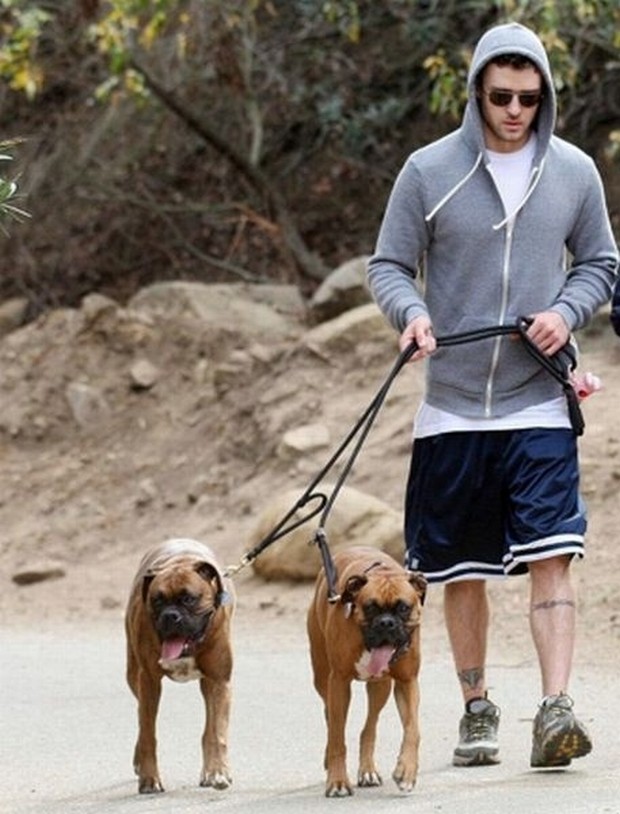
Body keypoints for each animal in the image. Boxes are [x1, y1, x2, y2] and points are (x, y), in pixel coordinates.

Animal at [124, 540, 235, 792]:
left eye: (188, 599)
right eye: (157, 601)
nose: (170, 616)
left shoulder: (220, 681)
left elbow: (218, 732)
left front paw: (218, 771)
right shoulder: (149, 682)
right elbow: (148, 733)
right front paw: (149, 778)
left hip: (208, 685)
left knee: (208, 729)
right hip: (133, 676)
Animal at [306, 548, 426, 796]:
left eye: (403, 607)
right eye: (370, 607)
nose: (386, 623)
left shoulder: (407, 682)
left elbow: (412, 730)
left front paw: (406, 771)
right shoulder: (339, 682)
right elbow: (338, 737)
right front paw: (338, 781)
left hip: (381, 687)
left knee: (369, 727)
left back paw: (368, 771)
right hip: (322, 678)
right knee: (330, 717)